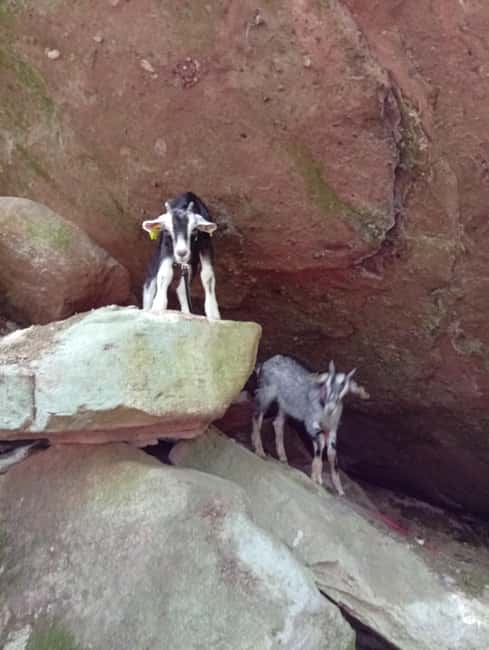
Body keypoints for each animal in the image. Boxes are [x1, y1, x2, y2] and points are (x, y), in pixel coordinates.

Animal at [251, 355, 369, 495]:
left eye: (343, 387)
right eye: (327, 384)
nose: (330, 407)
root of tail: (267, 362)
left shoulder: (333, 428)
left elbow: (332, 453)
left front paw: (339, 489)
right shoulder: (311, 421)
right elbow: (320, 442)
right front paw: (317, 477)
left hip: (284, 404)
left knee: (277, 423)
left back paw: (282, 457)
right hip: (266, 391)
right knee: (257, 415)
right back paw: (259, 450)